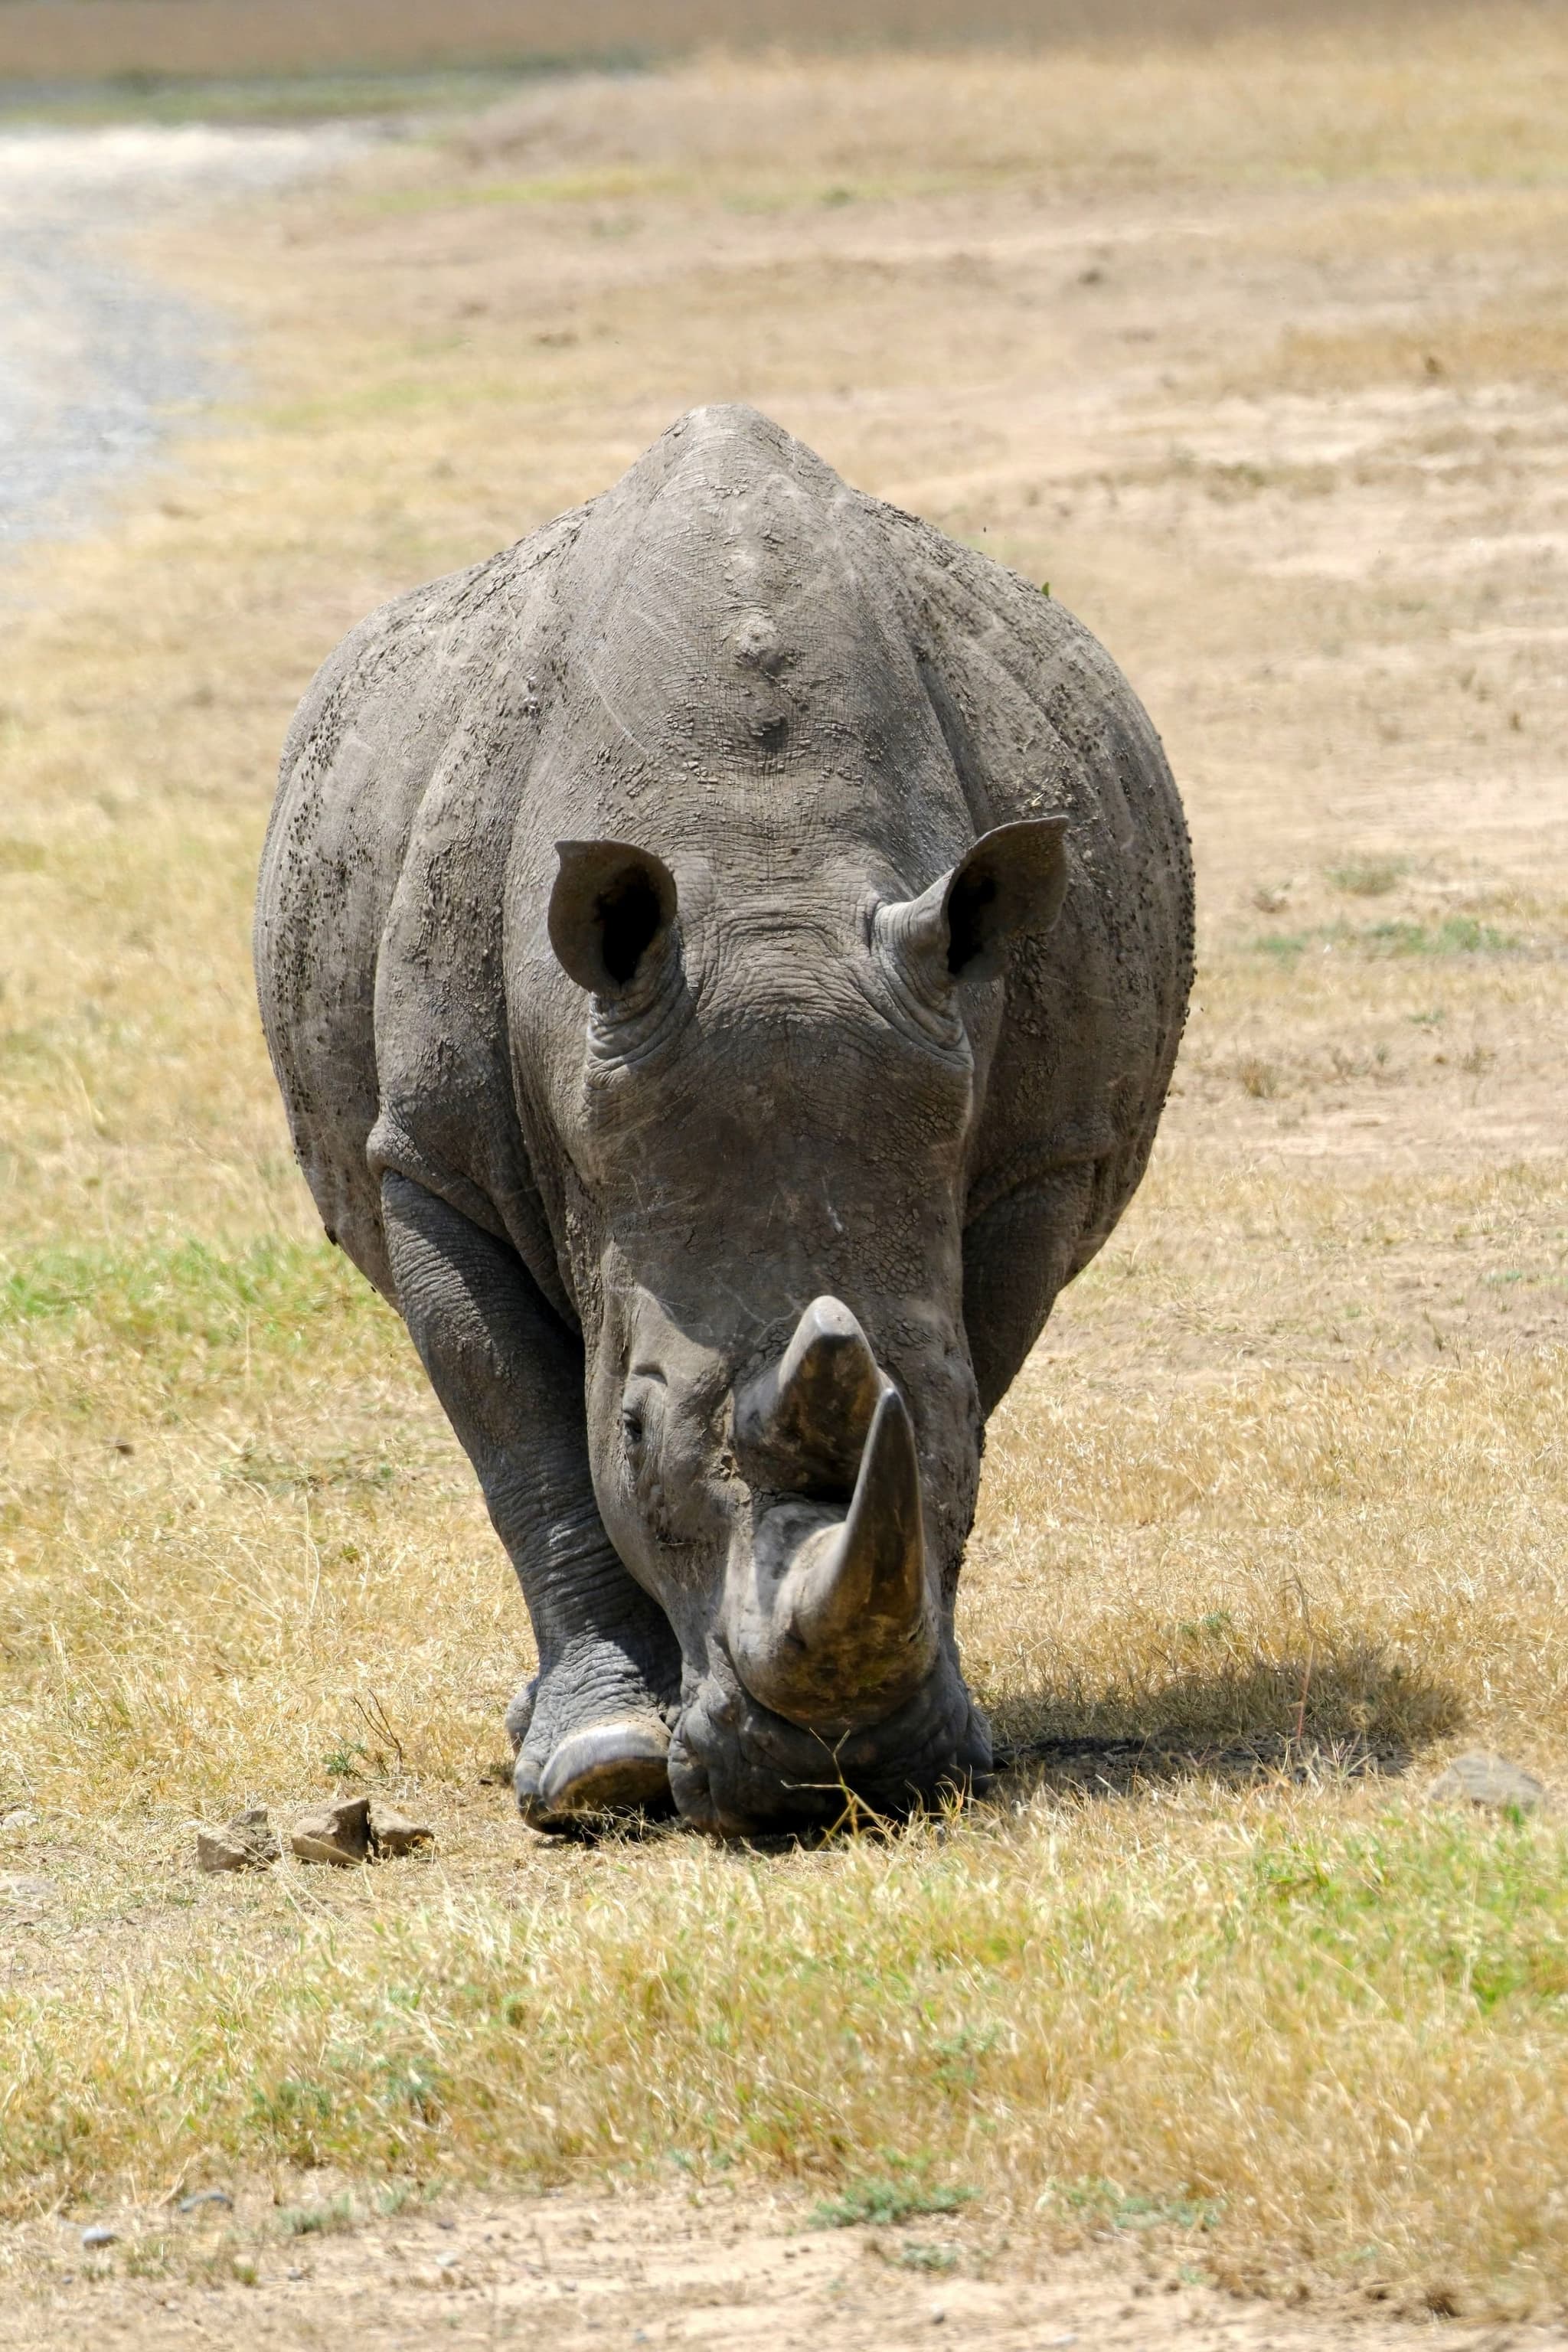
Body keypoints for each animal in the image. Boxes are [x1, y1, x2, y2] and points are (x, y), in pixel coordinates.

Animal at [255, 404, 1192, 1837]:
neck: (765, 876)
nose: (824, 1776)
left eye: (945, 1400)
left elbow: (955, 1405)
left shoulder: (1039, 1160)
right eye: (638, 1428)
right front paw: (595, 1768)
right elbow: (528, 1447)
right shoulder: (431, 1160)